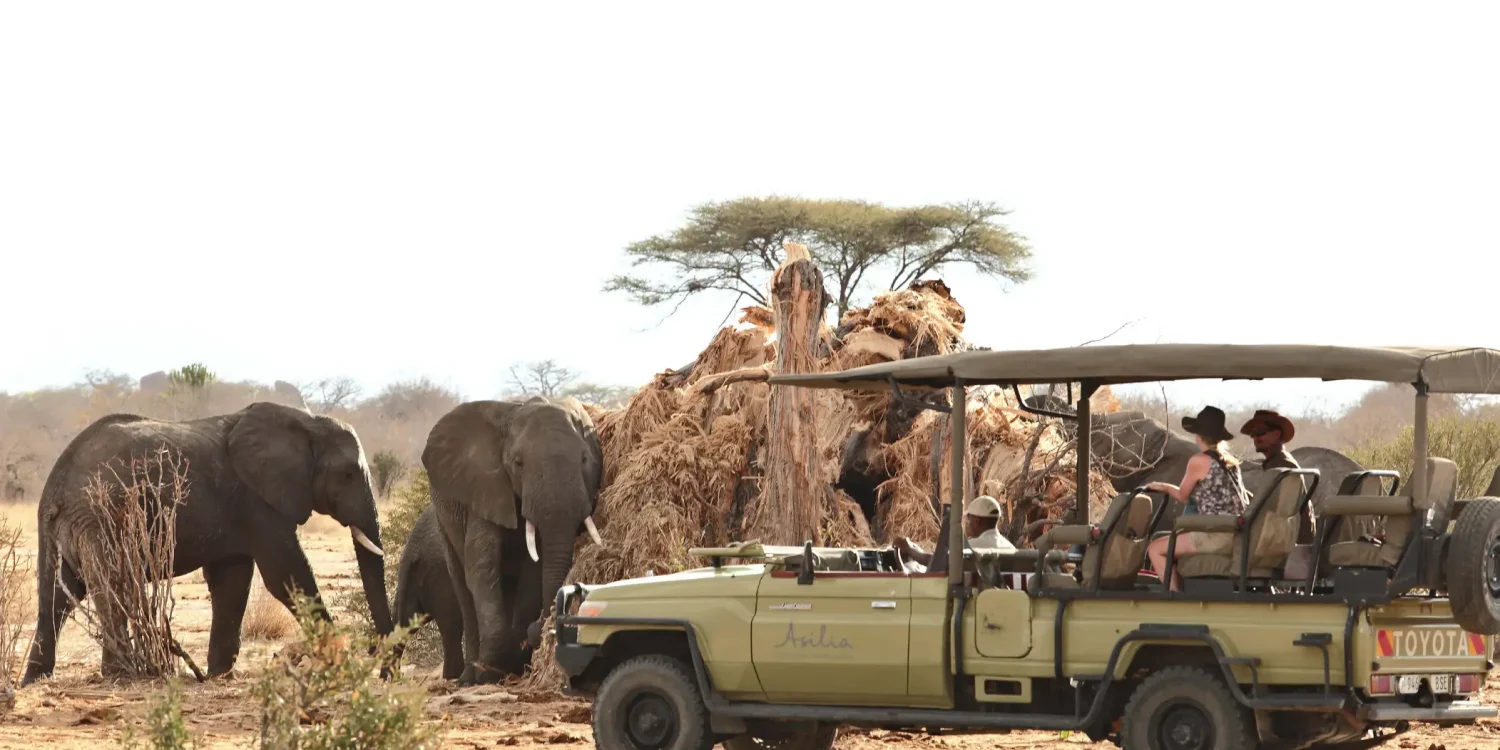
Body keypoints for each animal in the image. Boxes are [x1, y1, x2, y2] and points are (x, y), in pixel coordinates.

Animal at [22, 402, 393, 686]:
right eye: (348, 475)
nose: (384, 671)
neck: (307, 422)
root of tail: (57, 482)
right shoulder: (260, 501)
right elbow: (286, 573)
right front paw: (339, 659)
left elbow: (232, 581)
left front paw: (218, 675)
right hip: (101, 517)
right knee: (111, 585)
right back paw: (122, 676)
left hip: (61, 527)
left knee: (56, 595)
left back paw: (35, 679)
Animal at [422, 395, 603, 685]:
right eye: (518, 463)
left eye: (585, 459)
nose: (539, 628)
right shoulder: (484, 487)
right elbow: (481, 566)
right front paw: (488, 671)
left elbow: (533, 568)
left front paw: (510, 660)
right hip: (443, 519)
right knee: (462, 586)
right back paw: (468, 678)